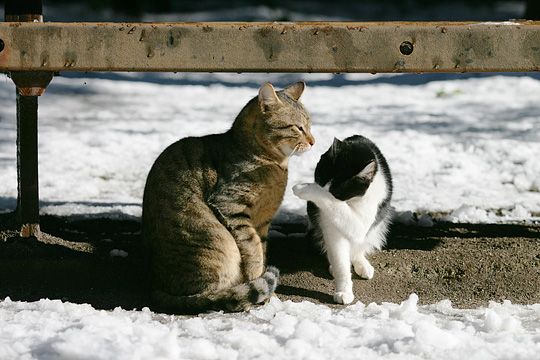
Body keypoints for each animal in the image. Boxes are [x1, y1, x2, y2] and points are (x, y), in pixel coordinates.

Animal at [142, 81, 316, 312]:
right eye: (298, 127)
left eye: (309, 125)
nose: (313, 141)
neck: (274, 164)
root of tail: (157, 288)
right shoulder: (230, 205)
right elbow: (253, 247)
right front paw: (257, 281)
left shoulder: (263, 221)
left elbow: (262, 248)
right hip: (217, 239)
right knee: (213, 295)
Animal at [294, 135, 394, 304]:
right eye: (320, 177)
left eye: (336, 191)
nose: (315, 202)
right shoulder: (329, 225)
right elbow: (340, 261)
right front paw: (344, 291)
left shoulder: (362, 218)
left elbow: (337, 207)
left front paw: (303, 188)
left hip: (378, 224)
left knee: (359, 246)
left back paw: (363, 266)